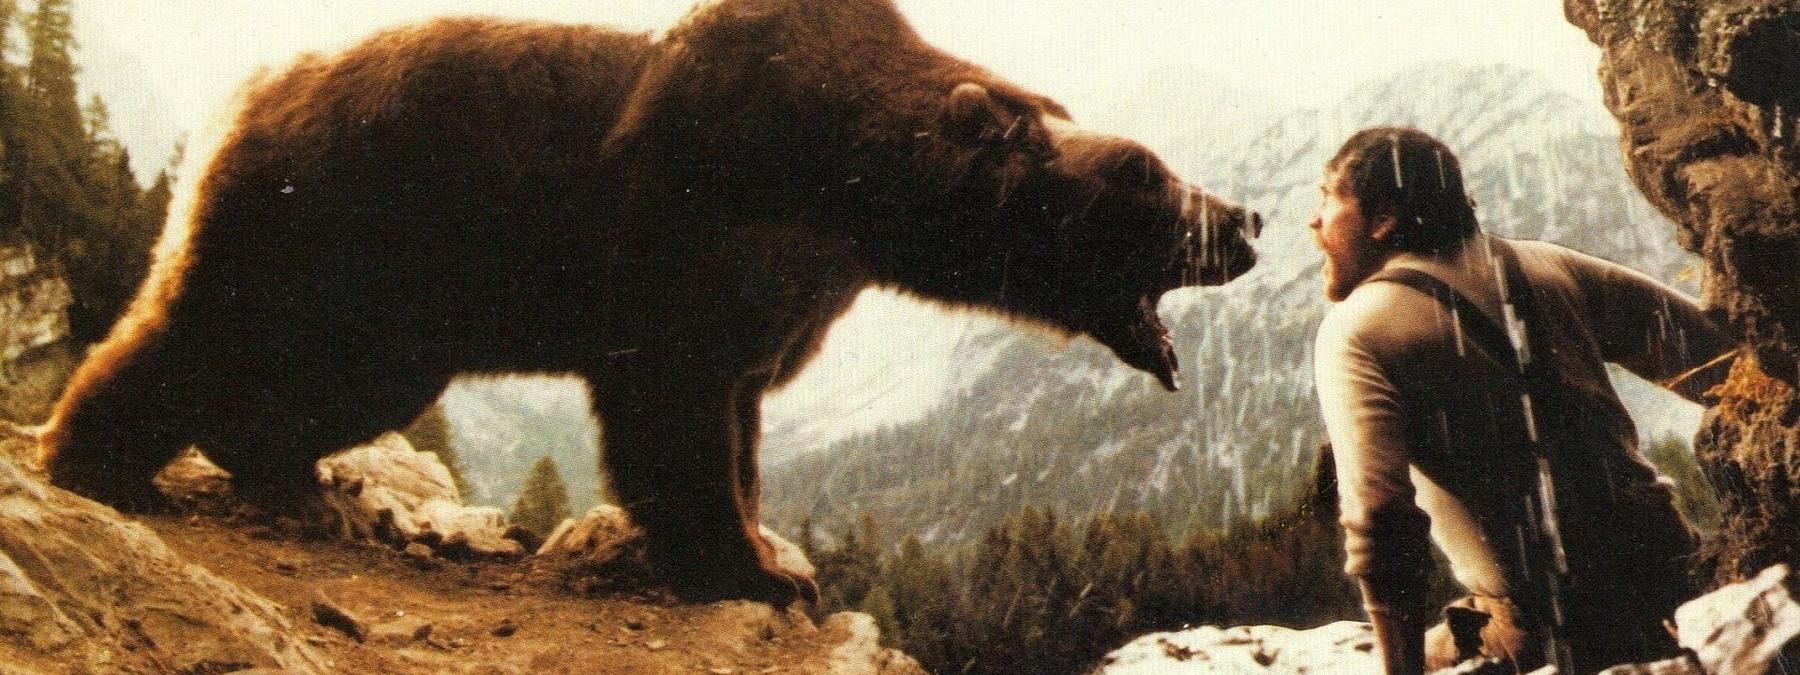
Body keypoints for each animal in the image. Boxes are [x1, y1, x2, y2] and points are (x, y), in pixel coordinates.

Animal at [39, 0, 1259, 605]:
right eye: (1144, 174)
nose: (1244, 218)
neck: (849, 184)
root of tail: (248, 88)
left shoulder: (792, 292)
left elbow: (741, 412)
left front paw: (770, 549)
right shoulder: (690, 218)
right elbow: (674, 408)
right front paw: (744, 570)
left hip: (402, 305)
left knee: (333, 385)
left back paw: (305, 482)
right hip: (340, 217)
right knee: (207, 332)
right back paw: (94, 461)